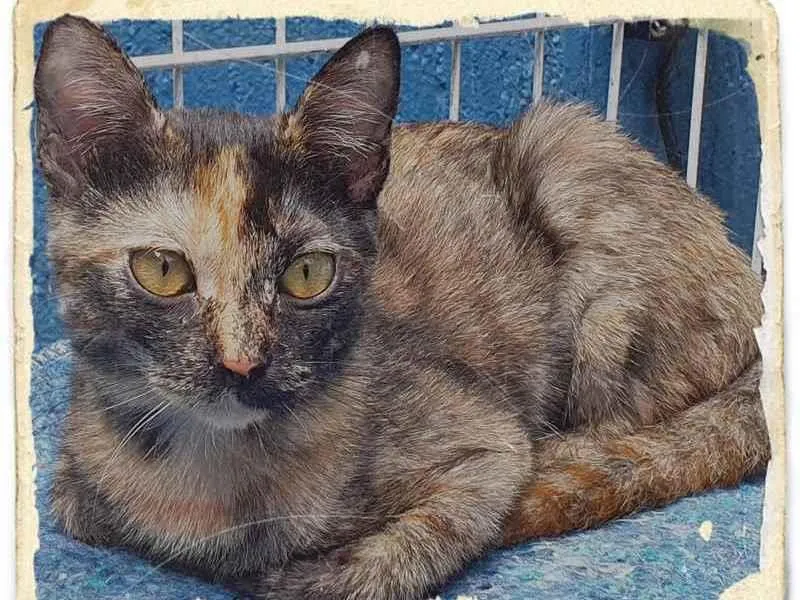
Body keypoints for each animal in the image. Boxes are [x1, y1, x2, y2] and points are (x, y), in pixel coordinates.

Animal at [34, 14, 769, 600]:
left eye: (307, 274)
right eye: (162, 270)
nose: (244, 364)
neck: (208, 482)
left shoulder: (491, 446)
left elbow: (394, 557)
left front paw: (306, 570)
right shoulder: (73, 484)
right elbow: (93, 516)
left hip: (572, 167)